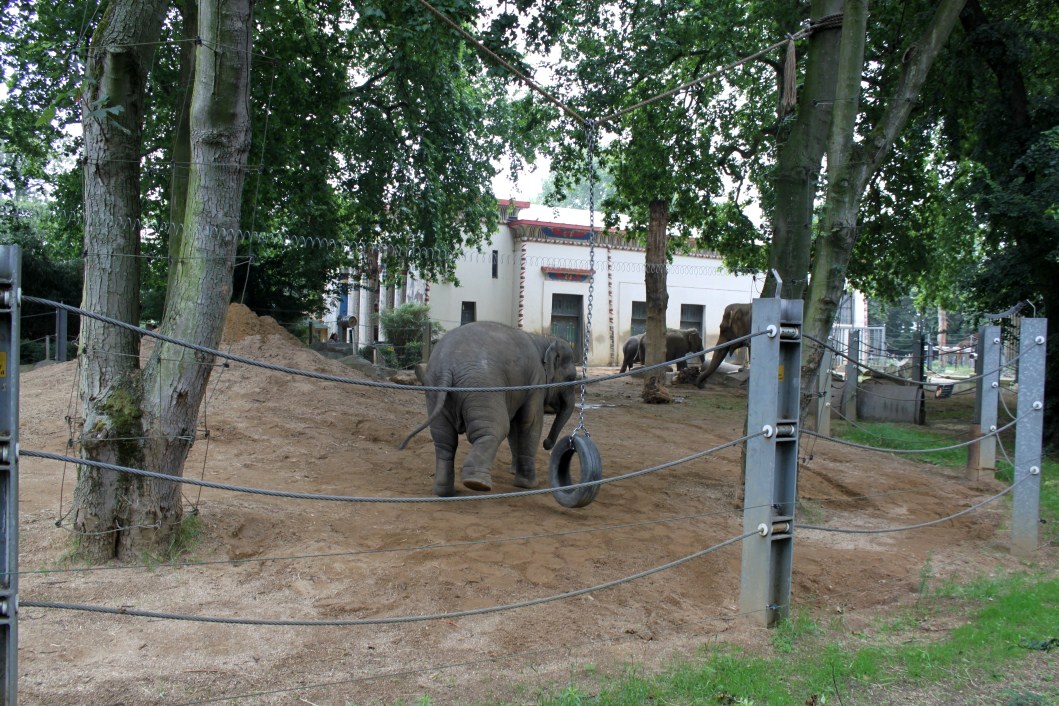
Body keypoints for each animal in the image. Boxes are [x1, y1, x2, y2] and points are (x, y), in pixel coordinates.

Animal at [399, 321, 578, 497]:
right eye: (572, 378)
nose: (547, 444)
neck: (543, 339)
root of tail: (446, 368)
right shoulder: (536, 381)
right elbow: (529, 422)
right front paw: (528, 485)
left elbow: (516, 428)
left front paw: (514, 473)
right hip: (482, 387)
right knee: (495, 429)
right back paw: (477, 484)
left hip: (435, 391)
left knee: (444, 439)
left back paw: (444, 492)